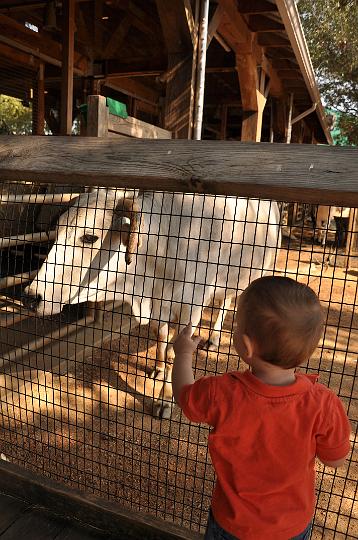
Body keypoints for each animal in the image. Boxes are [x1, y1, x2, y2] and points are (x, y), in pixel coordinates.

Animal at [24, 190, 282, 418]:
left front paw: (165, 400)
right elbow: (162, 338)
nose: (30, 296)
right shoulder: (160, 307)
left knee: (227, 304)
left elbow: (173, 354)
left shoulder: (190, 308)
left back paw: (217, 339)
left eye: (89, 237)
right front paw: (158, 368)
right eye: (57, 231)